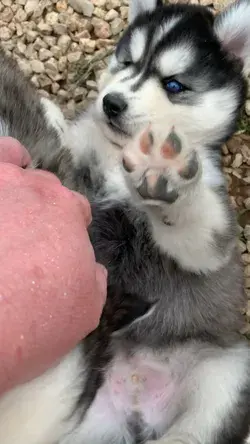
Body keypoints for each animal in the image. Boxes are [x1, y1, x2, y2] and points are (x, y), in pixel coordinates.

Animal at [0, 0, 250, 444]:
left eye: (174, 85)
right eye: (127, 62)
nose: (111, 103)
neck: (120, 155)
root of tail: (136, 396)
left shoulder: (212, 240)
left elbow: (196, 226)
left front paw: (164, 174)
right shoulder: (70, 161)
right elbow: (59, 135)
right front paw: (53, 112)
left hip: (229, 372)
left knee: (195, 431)